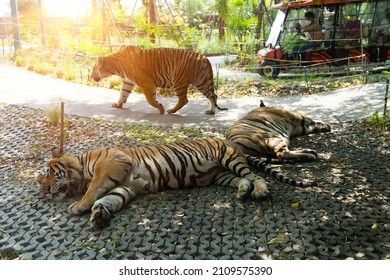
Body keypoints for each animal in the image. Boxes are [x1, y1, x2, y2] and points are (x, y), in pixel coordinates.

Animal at [36, 139, 268, 229]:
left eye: (48, 174)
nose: (45, 192)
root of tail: (229, 140)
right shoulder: (127, 186)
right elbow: (111, 198)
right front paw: (99, 214)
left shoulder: (110, 164)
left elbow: (94, 189)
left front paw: (79, 205)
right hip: (221, 175)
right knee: (242, 179)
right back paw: (242, 191)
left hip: (229, 159)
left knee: (254, 176)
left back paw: (260, 191)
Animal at [90, 44, 229, 114]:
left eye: (93, 68)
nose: (90, 76)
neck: (116, 67)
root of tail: (203, 56)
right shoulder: (127, 82)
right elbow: (123, 94)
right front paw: (118, 104)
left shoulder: (147, 83)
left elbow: (150, 100)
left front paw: (161, 108)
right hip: (201, 81)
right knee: (213, 95)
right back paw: (210, 111)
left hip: (179, 81)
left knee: (184, 99)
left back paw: (171, 110)